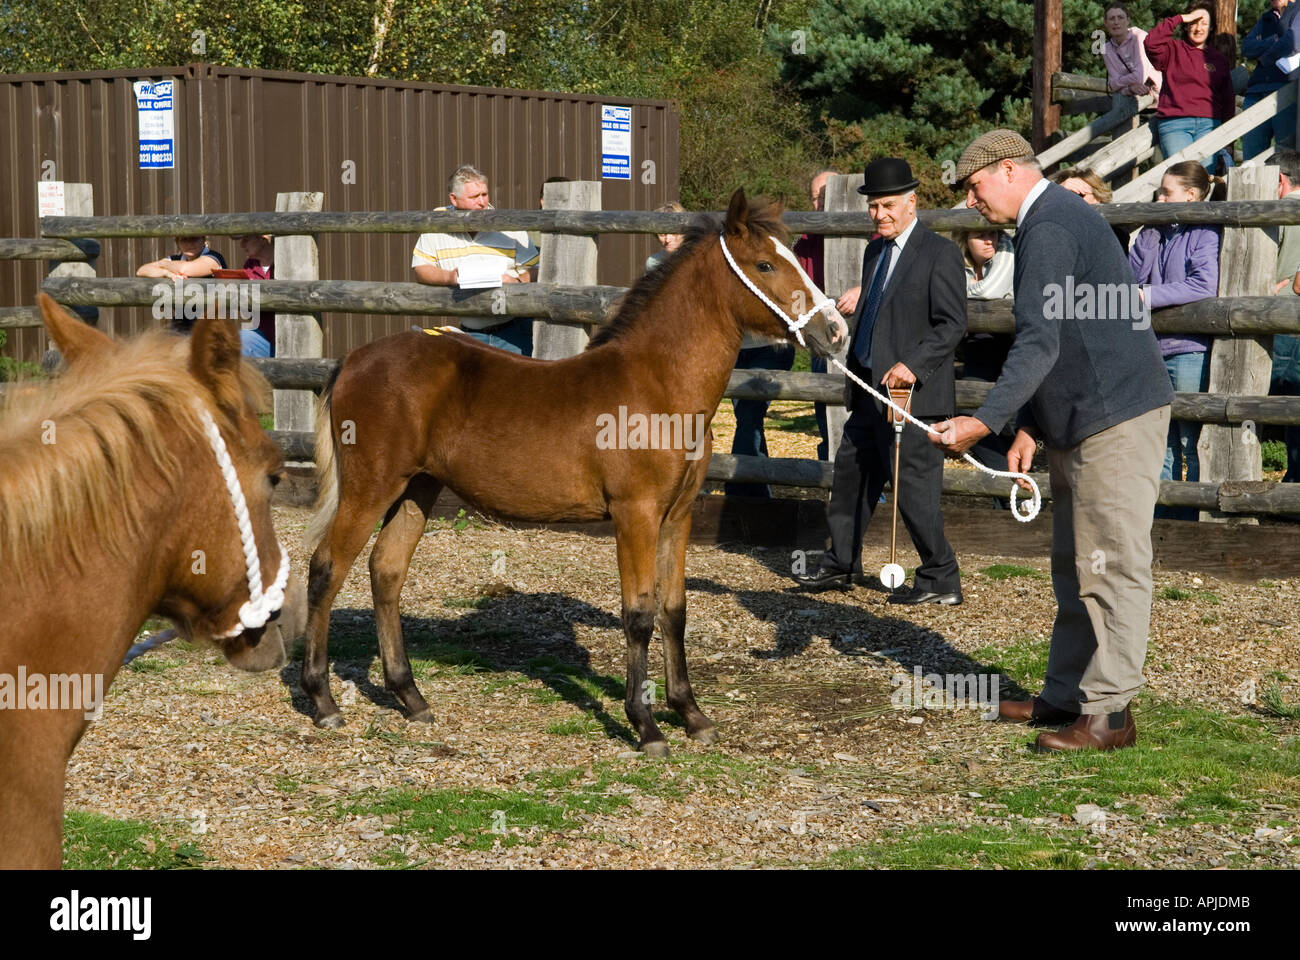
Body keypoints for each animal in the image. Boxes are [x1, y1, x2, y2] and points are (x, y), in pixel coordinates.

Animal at [303, 188, 847, 755]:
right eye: (765, 264)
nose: (835, 330)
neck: (658, 386)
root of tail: (353, 359)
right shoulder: (635, 514)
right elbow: (639, 614)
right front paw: (646, 725)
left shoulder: (677, 516)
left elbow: (674, 610)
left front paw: (691, 713)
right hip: (370, 487)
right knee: (326, 569)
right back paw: (323, 702)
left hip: (418, 489)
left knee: (386, 571)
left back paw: (411, 698)